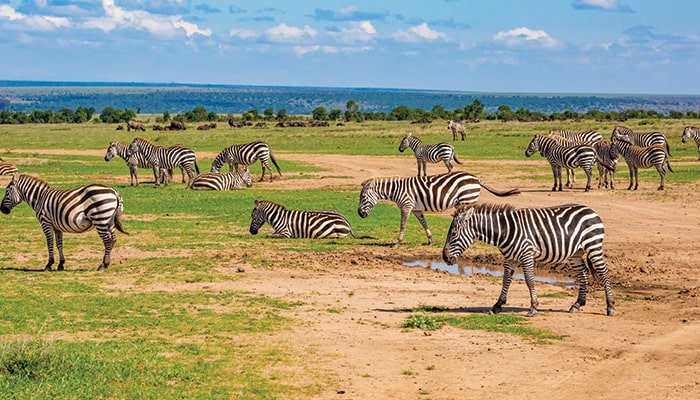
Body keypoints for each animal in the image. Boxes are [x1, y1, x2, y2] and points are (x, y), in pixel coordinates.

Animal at [357, 171, 520, 246]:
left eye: (363, 197)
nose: (359, 214)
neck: (397, 190)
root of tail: (475, 178)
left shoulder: (406, 206)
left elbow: (403, 224)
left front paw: (397, 242)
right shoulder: (416, 209)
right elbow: (424, 223)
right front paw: (430, 239)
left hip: (468, 199)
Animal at [442, 203, 615, 317]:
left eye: (454, 233)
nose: (444, 257)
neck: (505, 230)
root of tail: (590, 209)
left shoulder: (527, 254)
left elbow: (529, 280)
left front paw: (533, 307)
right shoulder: (509, 258)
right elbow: (506, 280)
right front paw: (498, 305)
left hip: (593, 246)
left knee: (604, 272)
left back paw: (610, 307)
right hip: (576, 253)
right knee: (583, 274)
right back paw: (577, 304)